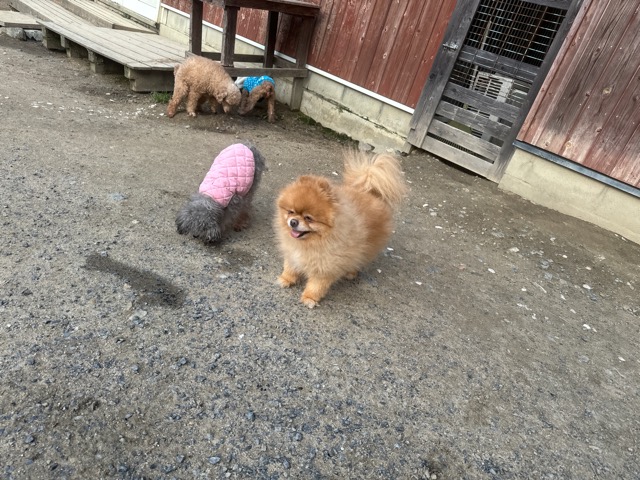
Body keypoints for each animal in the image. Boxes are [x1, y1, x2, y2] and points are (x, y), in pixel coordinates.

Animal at [274, 150, 406, 308]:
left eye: (308, 218)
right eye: (291, 212)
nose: (293, 222)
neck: (310, 243)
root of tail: (371, 192)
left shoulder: (326, 266)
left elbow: (317, 285)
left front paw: (310, 298)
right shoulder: (292, 253)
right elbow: (290, 268)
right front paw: (285, 279)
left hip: (366, 248)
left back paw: (351, 273)